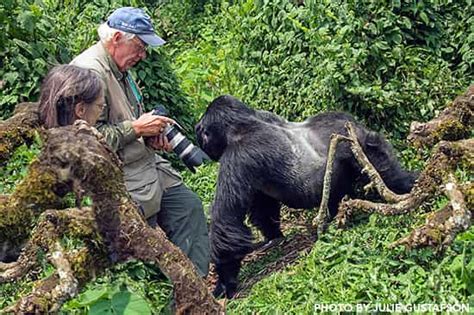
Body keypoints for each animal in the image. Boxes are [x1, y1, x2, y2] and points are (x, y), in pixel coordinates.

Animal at [194, 94, 416, 298]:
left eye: (203, 133)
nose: (198, 135)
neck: (243, 124)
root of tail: (353, 123)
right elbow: (263, 208)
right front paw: (274, 235)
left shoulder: (238, 157)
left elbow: (227, 224)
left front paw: (224, 281)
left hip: (361, 145)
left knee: (387, 176)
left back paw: (407, 187)